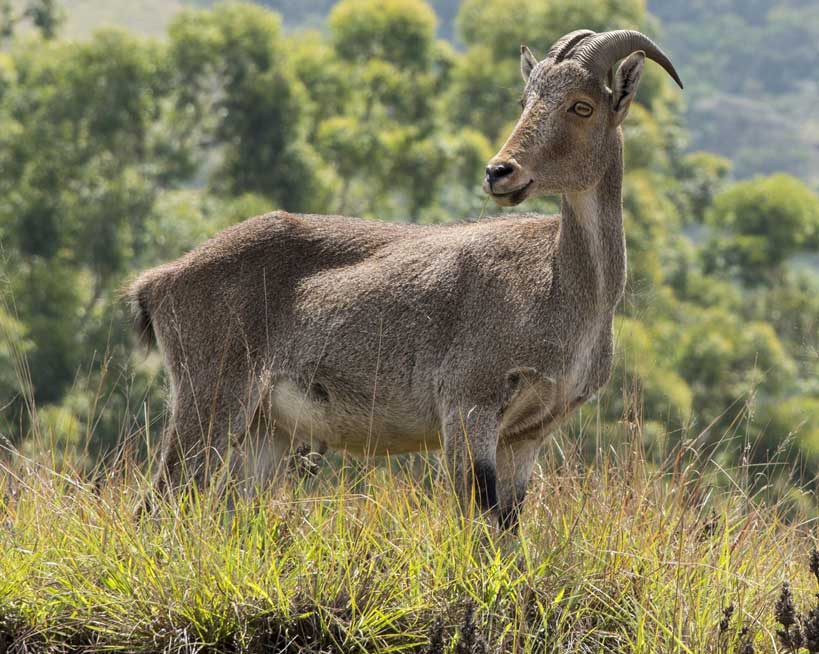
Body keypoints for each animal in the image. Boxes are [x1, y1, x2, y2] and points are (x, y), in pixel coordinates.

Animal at [126, 30, 680, 532]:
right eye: (526, 100)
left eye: (582, 106)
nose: (499, 172)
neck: (559, 287)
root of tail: (159, 282)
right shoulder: (469, 405)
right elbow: (478, 519)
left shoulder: (529, 433)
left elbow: (507, 527)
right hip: (210, 396)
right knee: (157, 503)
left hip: (268, 428)